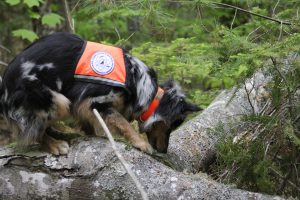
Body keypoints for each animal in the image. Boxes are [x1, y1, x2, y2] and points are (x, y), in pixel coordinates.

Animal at [0, 32, 202, 155]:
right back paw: (55, 144)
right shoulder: (95, 101)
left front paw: (91, 135)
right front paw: (141, 143)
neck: (137, 82)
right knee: (33, 132)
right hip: (54, 100)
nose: (163, 151)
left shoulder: (83, 105)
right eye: (170, 128)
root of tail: (4, 89)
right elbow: (123, 122)